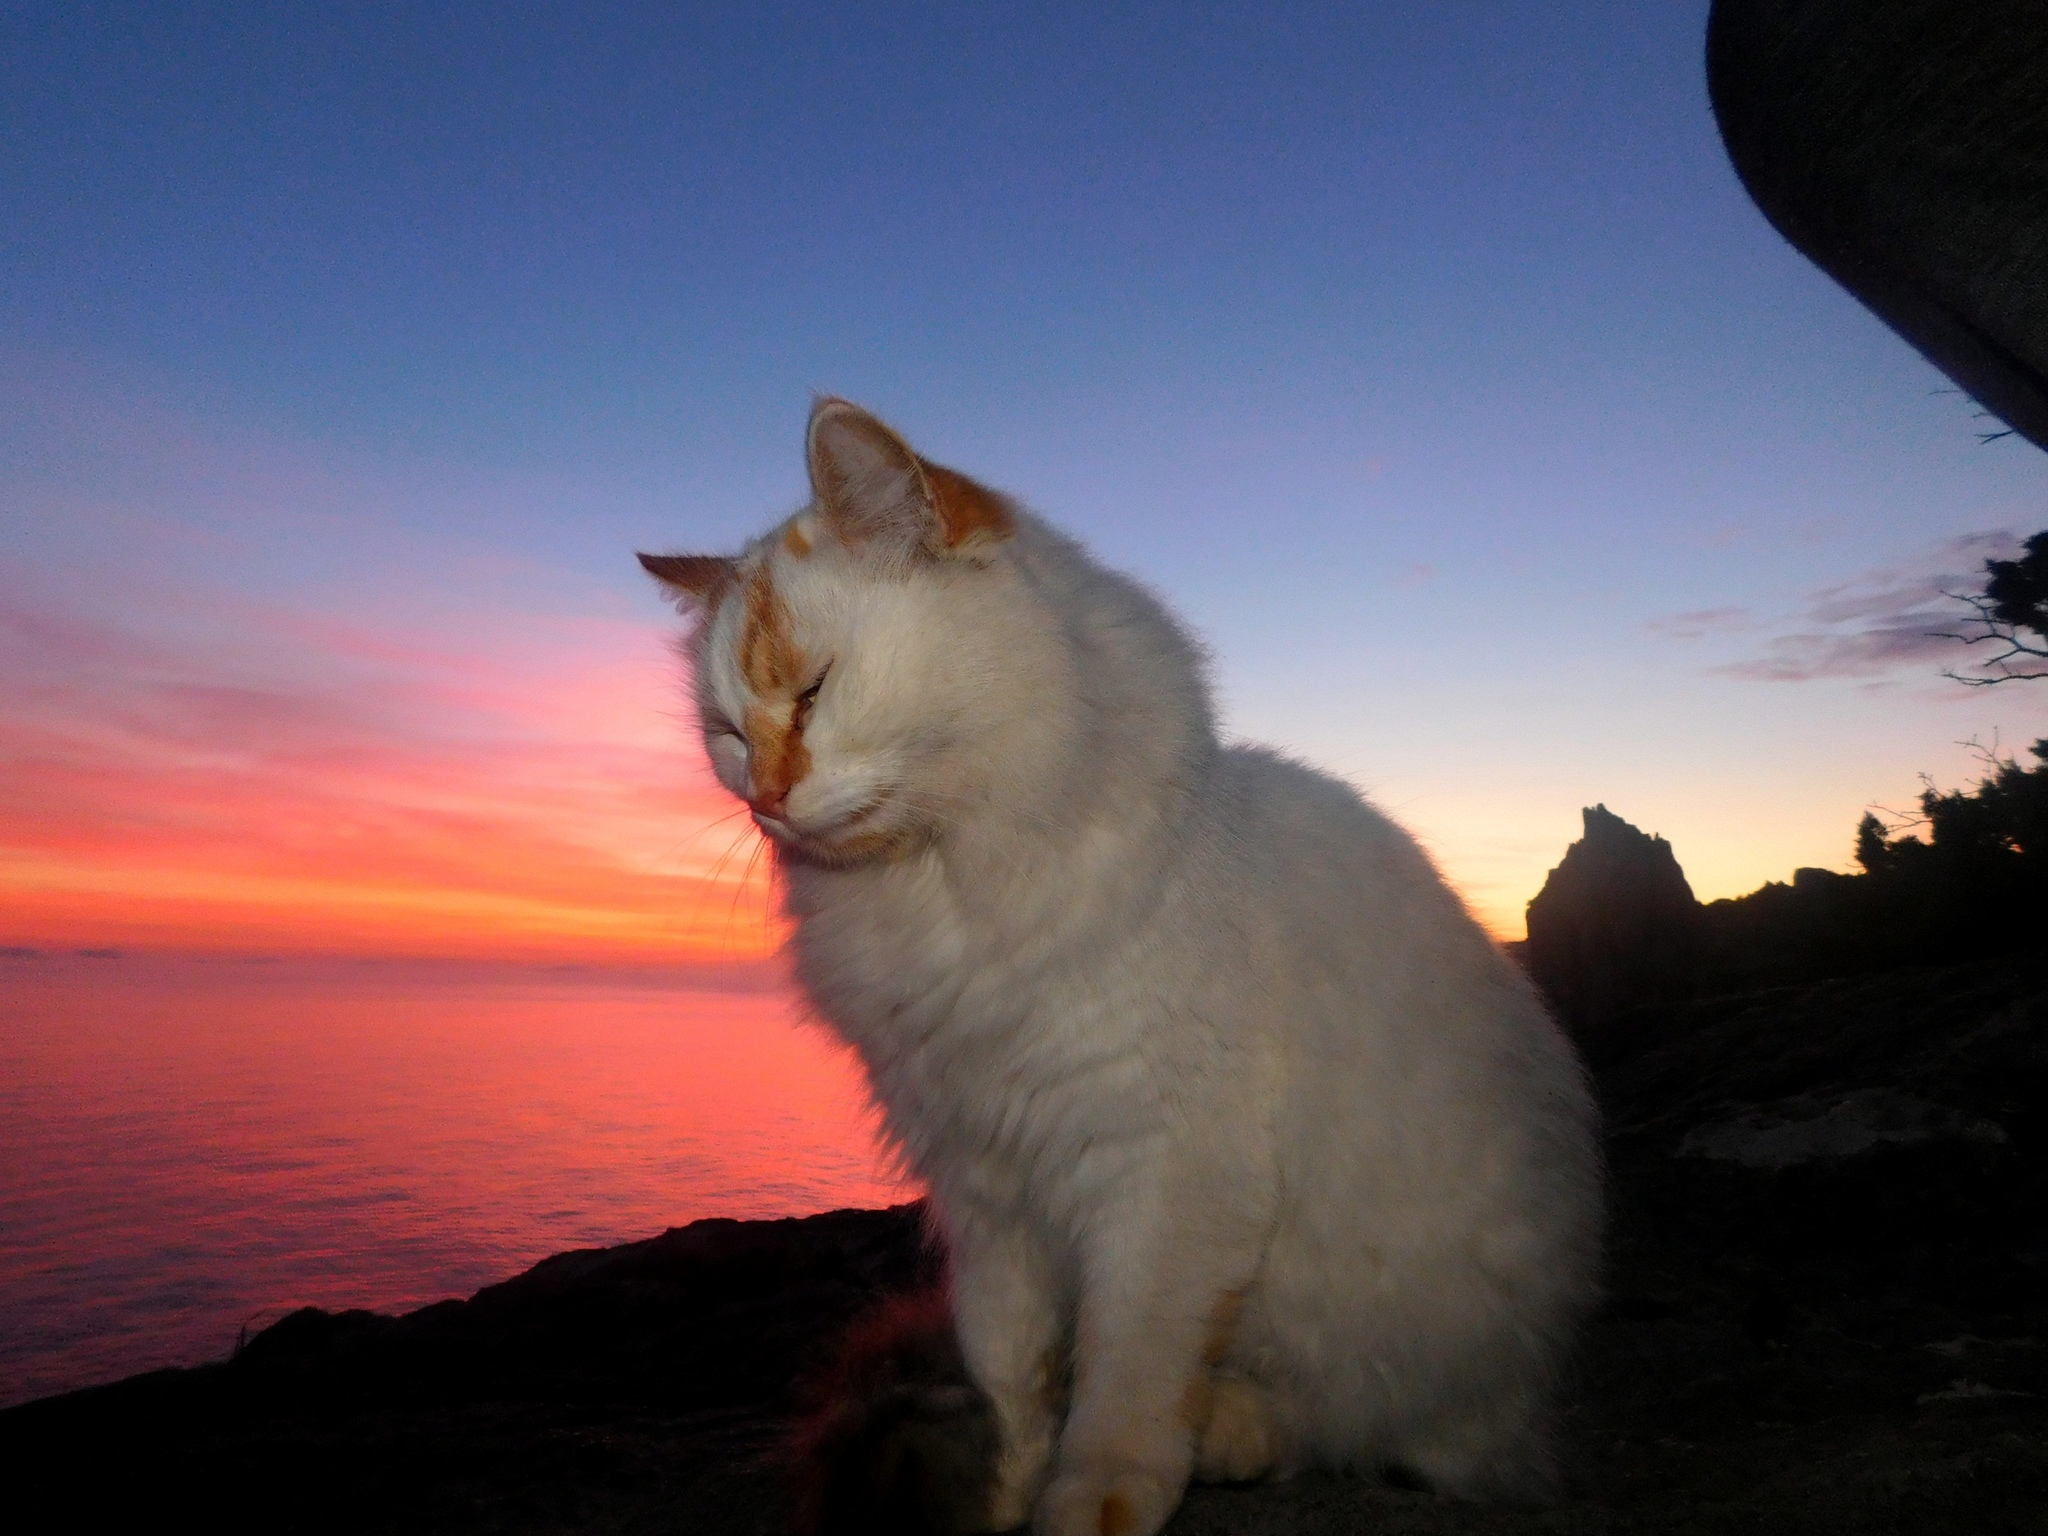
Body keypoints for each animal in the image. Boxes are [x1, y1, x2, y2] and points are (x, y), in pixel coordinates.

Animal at [647, 399, 1605, 1536]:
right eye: (726, 734)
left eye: (813, 690)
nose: (766, 802)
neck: (935, 889)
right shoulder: (985, 1191)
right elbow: (1008, 1371)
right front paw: (1006, 1494)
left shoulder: (1162, 1177)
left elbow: (1127, 1379)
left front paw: (1090, 1499)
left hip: (1403, 1330)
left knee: (1367, 1427)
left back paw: (1237, 1434)